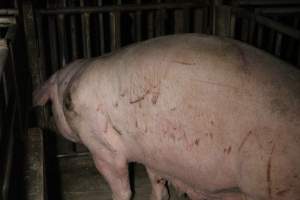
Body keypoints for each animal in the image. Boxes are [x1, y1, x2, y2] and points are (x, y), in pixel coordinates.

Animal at [33, 34, 300, 200]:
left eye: (53, 105)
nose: (47, 122)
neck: (68, 92)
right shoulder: (154, 149)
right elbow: (156, 178)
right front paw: (159, 195)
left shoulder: (102, 145)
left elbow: (121, 185)